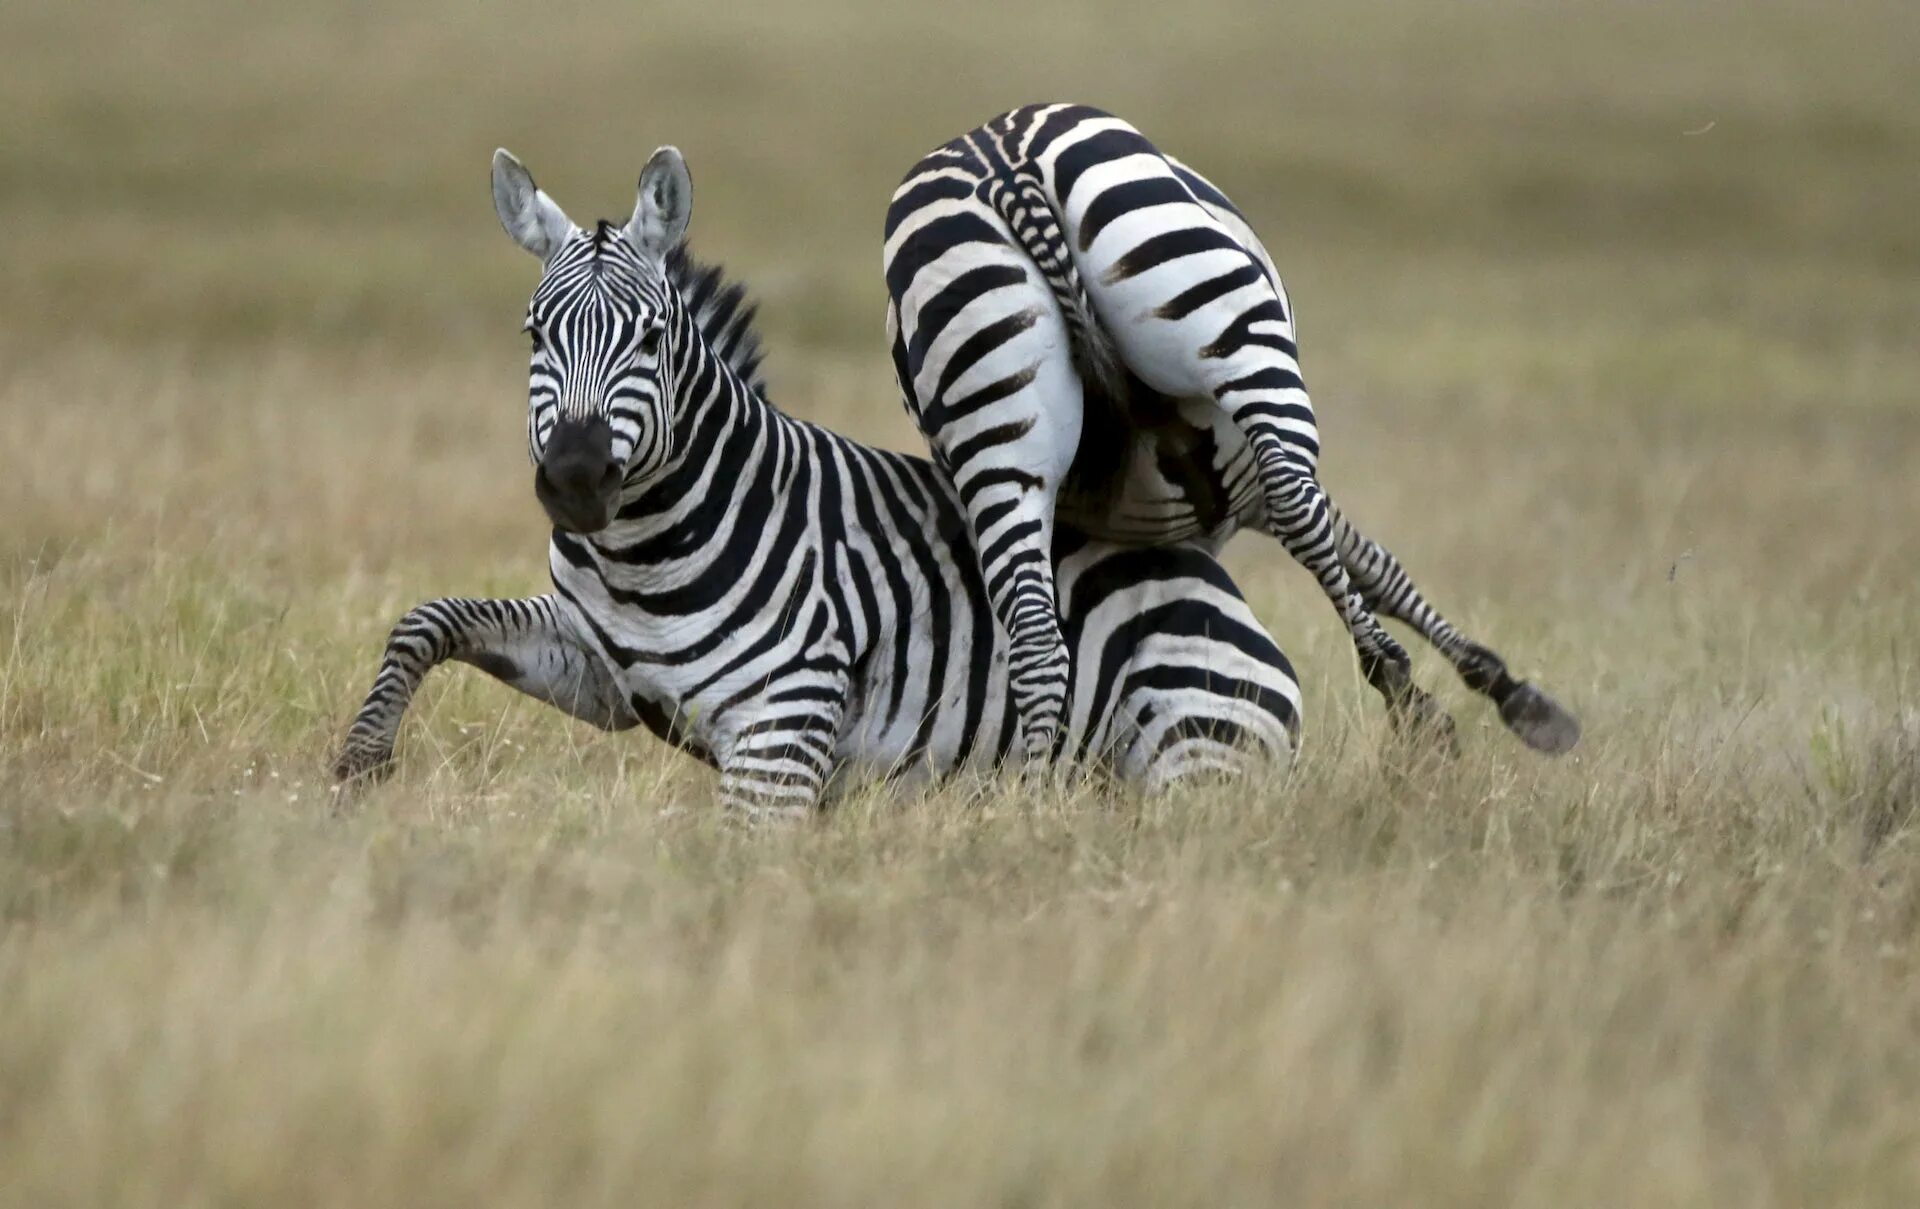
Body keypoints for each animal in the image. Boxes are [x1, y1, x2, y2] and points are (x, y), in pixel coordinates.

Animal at [332, 146, 1302, 820]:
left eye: (650, 337)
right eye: (534, 334)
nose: (574, 478)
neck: (641, 554)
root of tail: (1221, 587)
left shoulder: (785, 719)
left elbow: (736, 865)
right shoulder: (595, 666)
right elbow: (430, 617)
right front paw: (360, 761)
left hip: (1190, 744)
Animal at [883, 102, 1580, 766]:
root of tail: (1001, 158)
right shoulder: (1244, 501)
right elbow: (1376, 567)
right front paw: (1508, 692)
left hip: (998, 435)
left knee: (1032, 635)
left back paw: (1034, 788)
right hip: (1243, 349)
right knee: (1298, 500)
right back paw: (1410, 699)